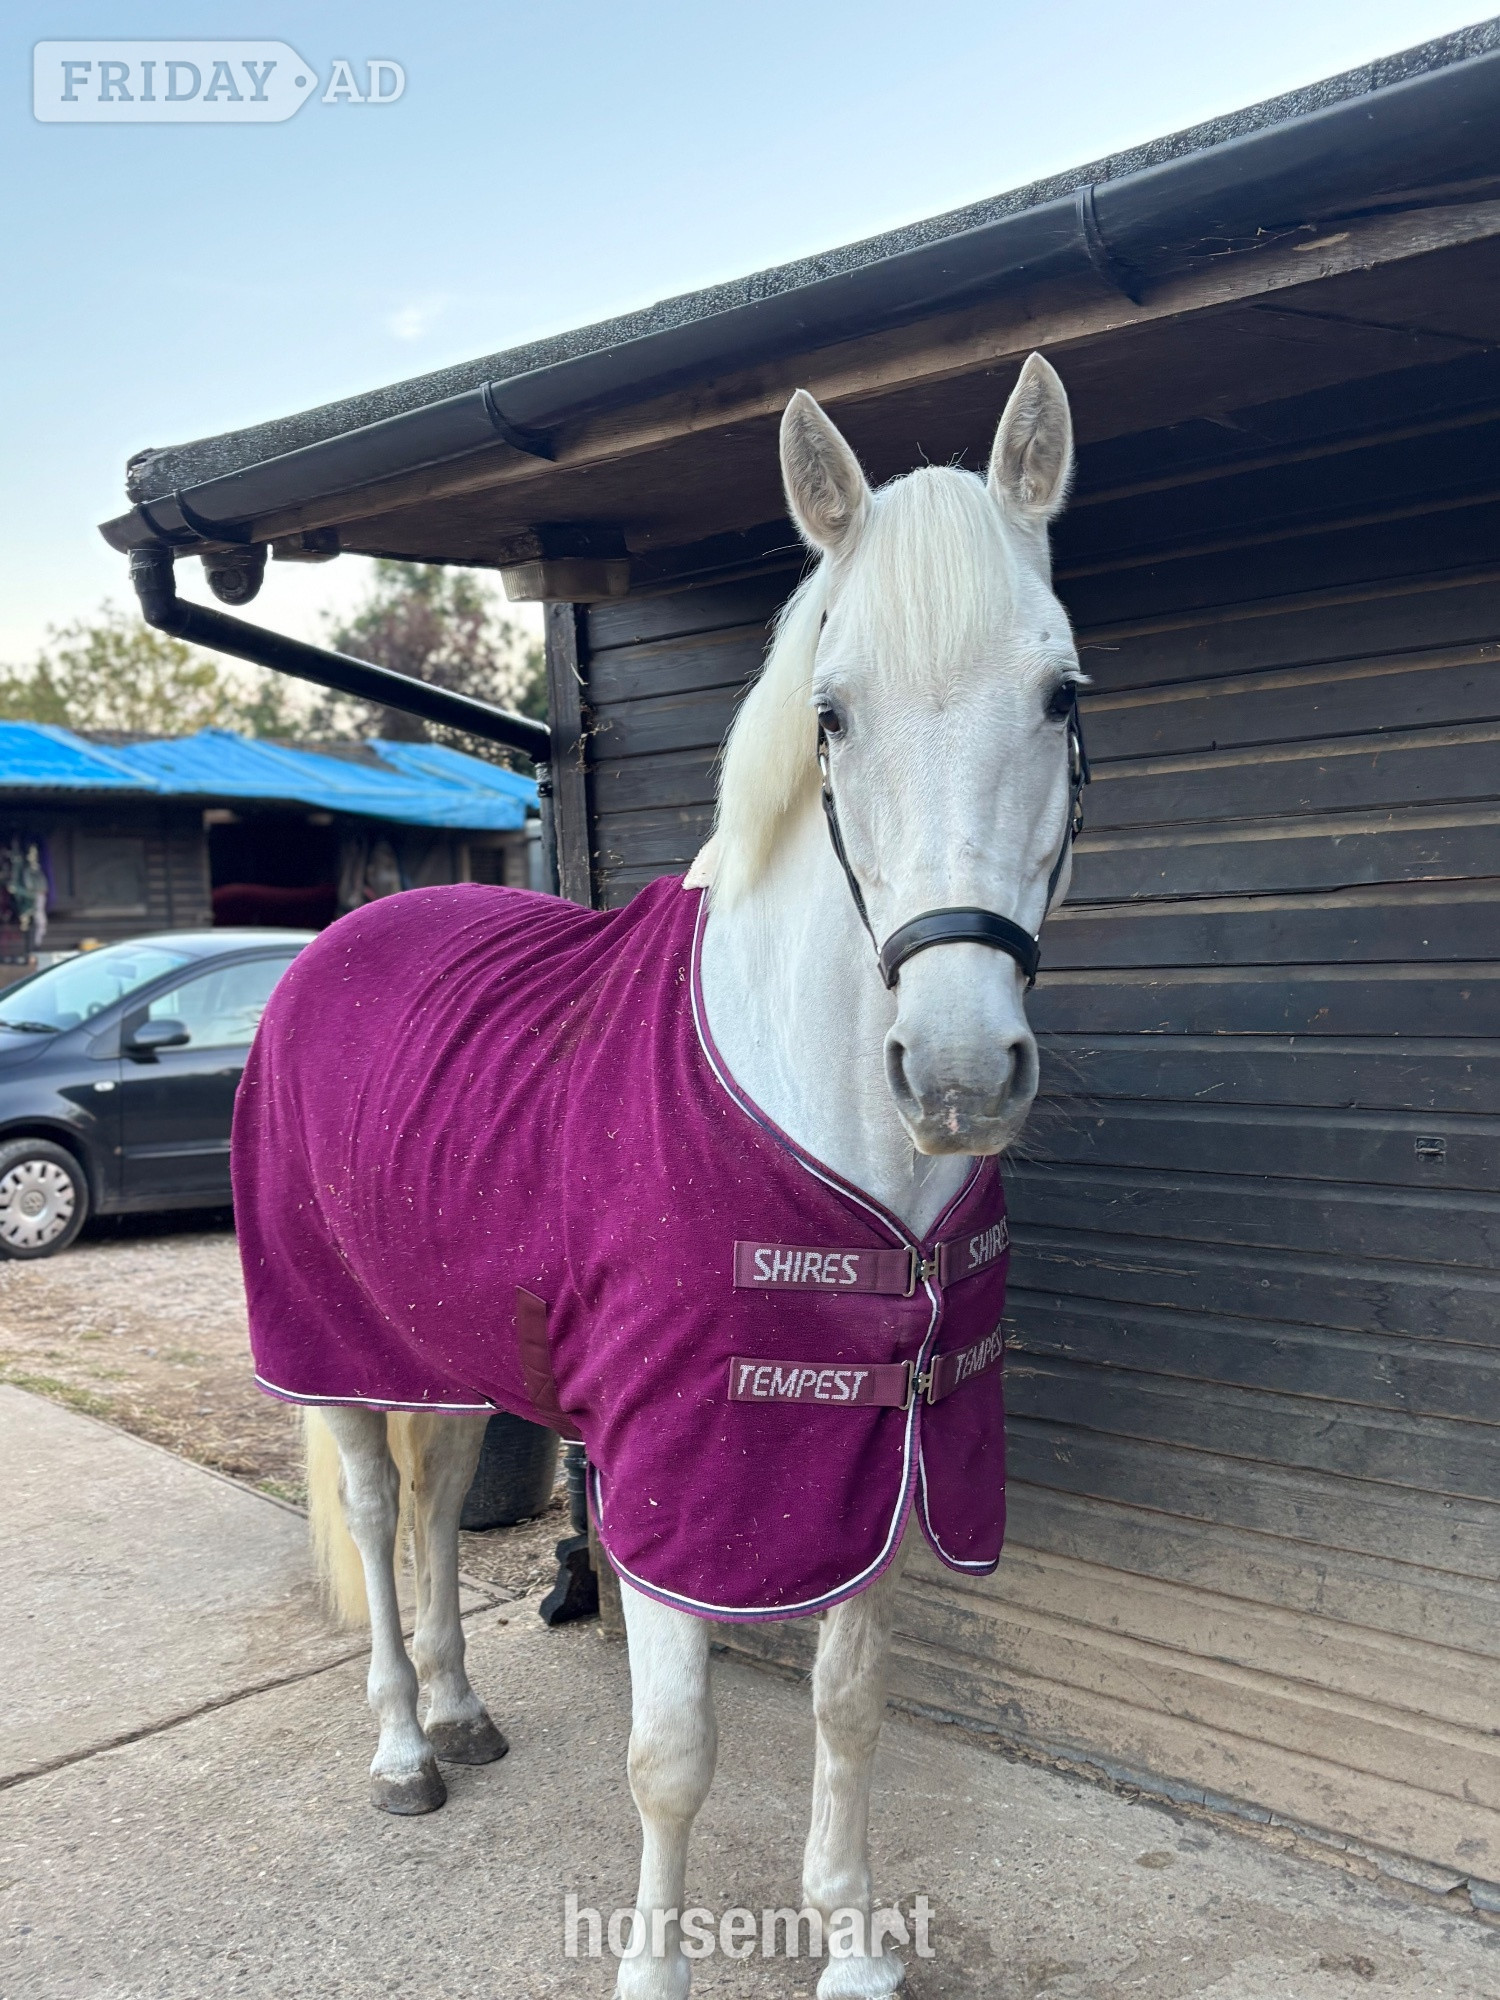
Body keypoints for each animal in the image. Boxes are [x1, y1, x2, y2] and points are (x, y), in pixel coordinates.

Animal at [234, 352, 1082, 2000]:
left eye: (1061, 693)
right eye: (831, 713)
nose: (957, 1072)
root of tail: (337, 941)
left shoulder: (864, 1458)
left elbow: (847, 1710)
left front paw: (852, 1951)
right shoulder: (681, 1478)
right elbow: (672, 1758)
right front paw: (652, 1971)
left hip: (457, 1344)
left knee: (441, 1505)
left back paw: (459, 1713)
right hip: (334, 1346)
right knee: (374, 1512)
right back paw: (400, 1748)